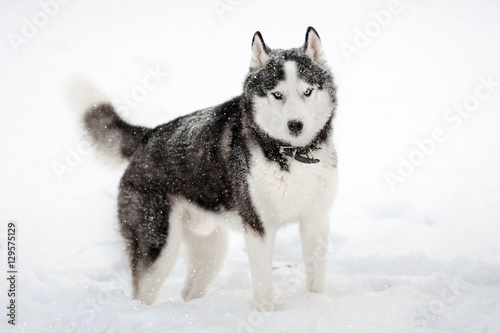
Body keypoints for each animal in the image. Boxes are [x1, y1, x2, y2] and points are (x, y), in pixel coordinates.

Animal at [75, 27, 340, 310]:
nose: (295, 124)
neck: (290, 155)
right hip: (159, 244)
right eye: (277, 94)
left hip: (211, 249)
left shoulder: (315, 221)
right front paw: (265, 313)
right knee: (143, 291)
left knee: (189, 290)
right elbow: (264, 287)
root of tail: (148, 136)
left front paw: (317, 304)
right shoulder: (258, 227)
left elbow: (315, 279)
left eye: (307, 91)